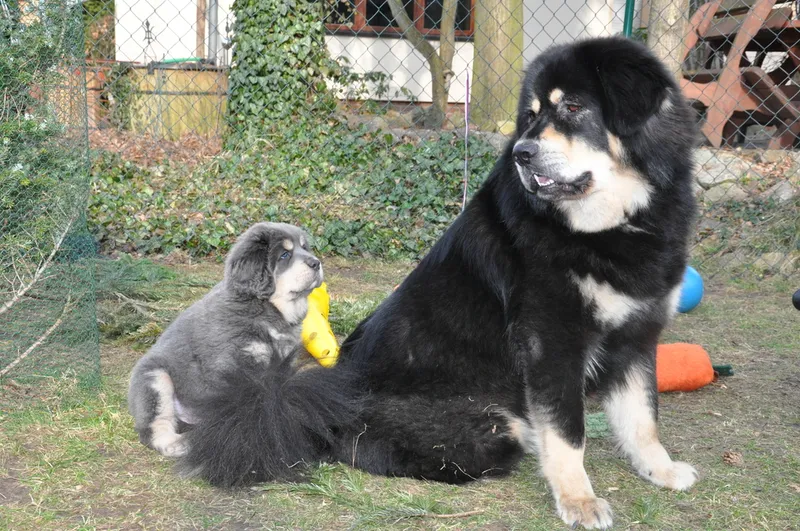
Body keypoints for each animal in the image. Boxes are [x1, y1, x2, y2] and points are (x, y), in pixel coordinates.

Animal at [127, 222, 323, 457]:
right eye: (285, 255)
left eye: (305, 248)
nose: (316, 262)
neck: (267, 309)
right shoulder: (232, 364)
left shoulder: (284, 362)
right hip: (155, 379)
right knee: (154, 426)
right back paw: (176, 443)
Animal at [177, 37, 699, 530]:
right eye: (530, 117)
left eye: (572, 108)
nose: (522, 153)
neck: (613, 226)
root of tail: (325, 409)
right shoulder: (553, 344)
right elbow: (569, 434)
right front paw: (579, 500)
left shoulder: (638, 334)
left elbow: (643, 417)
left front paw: (660, 470)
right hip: (488, 430)